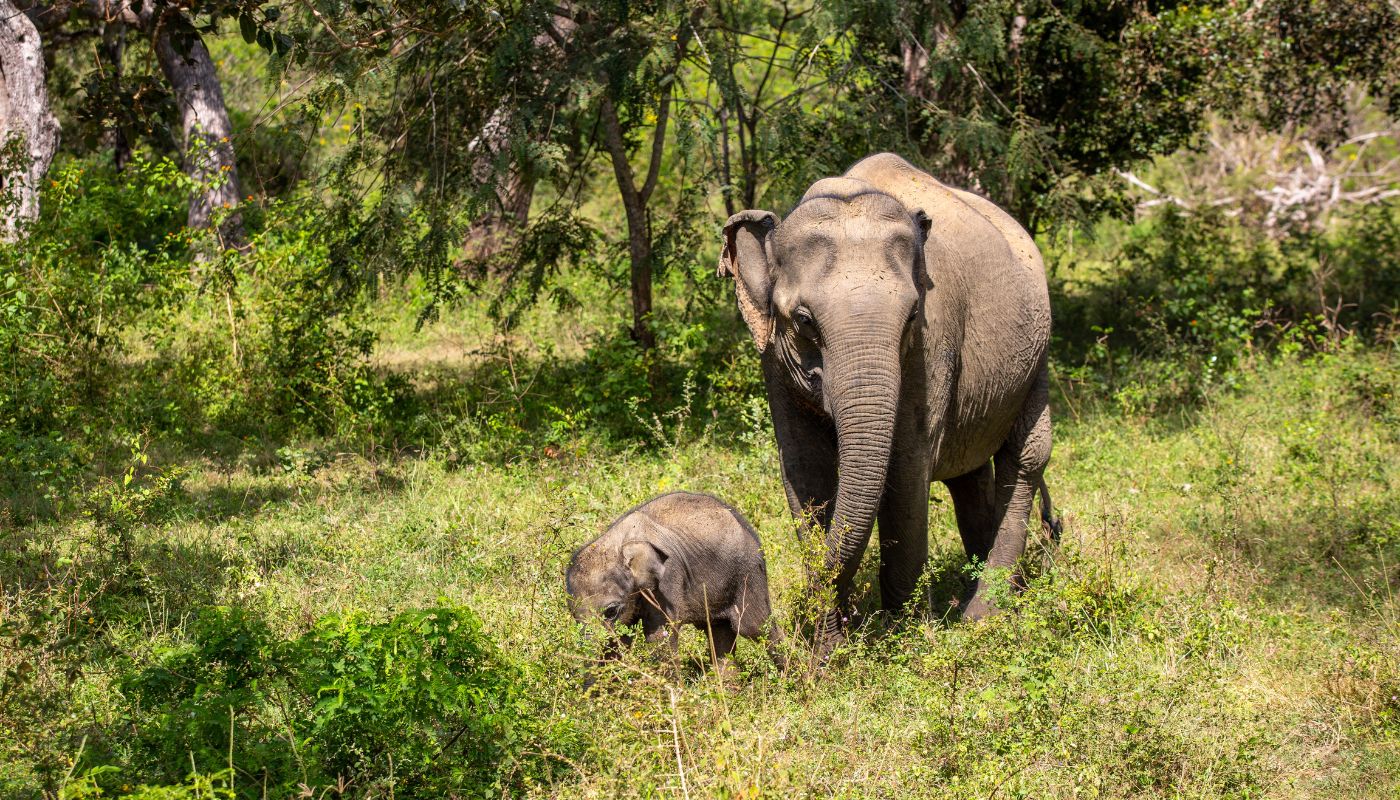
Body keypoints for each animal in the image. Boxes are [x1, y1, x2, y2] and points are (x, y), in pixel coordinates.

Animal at [568, 495, 789, 669]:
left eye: (611, 611)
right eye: (573, 617)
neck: (619, 543)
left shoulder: (668, 580)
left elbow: (659, 638)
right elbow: (618, 642)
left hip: (748, 573)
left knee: (754, 627)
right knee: (720, 631)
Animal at [716, 152, 1052, 650]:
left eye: (912, 315)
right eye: (804, 320)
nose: (791, 630)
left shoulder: (930, 349)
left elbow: (907, 468)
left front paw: (902, 643)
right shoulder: (773, 358)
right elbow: (806, 471)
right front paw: (830, 651)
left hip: (1038, 353)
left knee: (1026, 458)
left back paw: (982, 616)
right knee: (969, 474)